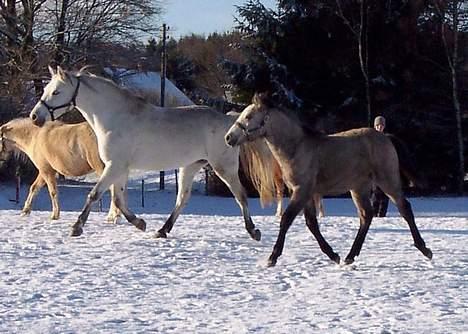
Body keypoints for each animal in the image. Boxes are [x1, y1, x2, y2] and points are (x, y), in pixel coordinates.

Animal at [28, 67, 262, 240]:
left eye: (56, 91)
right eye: (47, 88)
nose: (35, 117)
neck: (116, 117)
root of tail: (229, 123)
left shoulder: (114, 166)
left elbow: (95, 194)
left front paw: (76, 227)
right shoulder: (119, 168)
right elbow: (118, 199)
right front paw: (140, 223)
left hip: (224, 168)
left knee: (241, 196)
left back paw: (253, 231)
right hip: (189, 167)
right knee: (182, 199)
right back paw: (162, 231)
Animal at [225, 92, 434, 268]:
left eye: (249, 116)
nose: (229, 138)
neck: (297, 148)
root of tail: (386, 137)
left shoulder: (302, 191)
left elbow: (286, 220)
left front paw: (272, 257)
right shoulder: (306, 194)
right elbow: (311, 224)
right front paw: (334, 255)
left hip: (387, 181)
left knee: (404, 208)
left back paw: (425, 249)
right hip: (358, 188)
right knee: (366, 216)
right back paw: (350, 256)